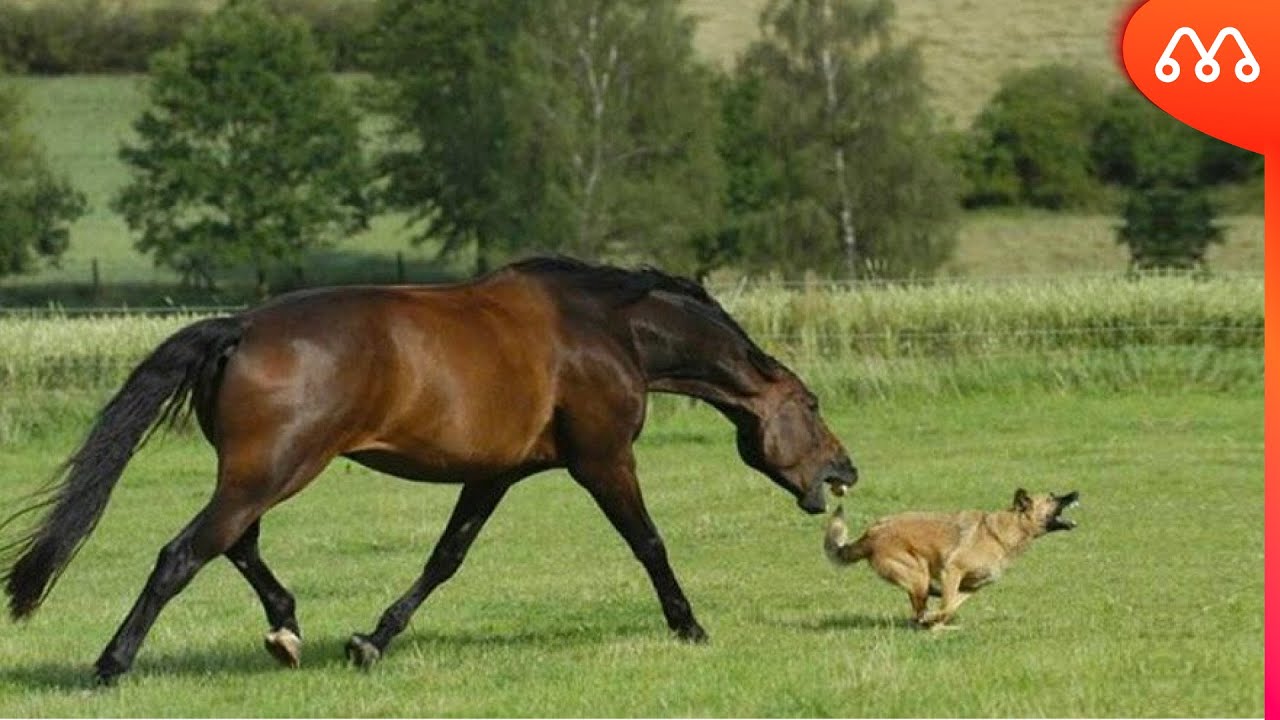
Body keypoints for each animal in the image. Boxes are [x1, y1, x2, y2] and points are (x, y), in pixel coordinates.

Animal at [5, 256, 860, 676]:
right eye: (813, 403)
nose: (844, 473)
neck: (605, 327)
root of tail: (239, 326)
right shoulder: (602, 459)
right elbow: (649, 543)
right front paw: (690, 627)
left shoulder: (494, 474)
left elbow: (446, 558)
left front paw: (371, 642)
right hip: (272, 471)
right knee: (184, 553)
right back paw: (113, 664)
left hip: (258, 474)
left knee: (235, 545)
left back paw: (287, 632)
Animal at [824, 486, 1075, 627]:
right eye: (1051, 499)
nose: (1076, 493)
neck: (1000, 534)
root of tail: (872, 532)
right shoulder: (952, 571)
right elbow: (945, 607)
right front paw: (935, 622)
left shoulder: (971, 587)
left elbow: (951, 607)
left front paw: (937, 621)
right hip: (918, 574)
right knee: (918, 612)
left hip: (919, 577)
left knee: (918, 609)